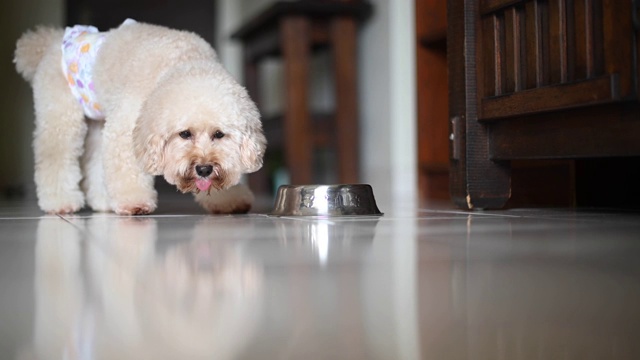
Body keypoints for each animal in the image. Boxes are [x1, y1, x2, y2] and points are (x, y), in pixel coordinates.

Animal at [14, 19, 264, 215]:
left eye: (219, 135)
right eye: (184, 134)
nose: (204, 169)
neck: (183, 62)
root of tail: (52, 41)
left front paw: (228, 199)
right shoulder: (126, 127)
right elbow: (126, 168)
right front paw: (134, 202)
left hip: (98, 121)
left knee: (95, 159)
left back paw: (102, 201)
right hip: (61, 117)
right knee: (56, 155)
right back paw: (60, 202)